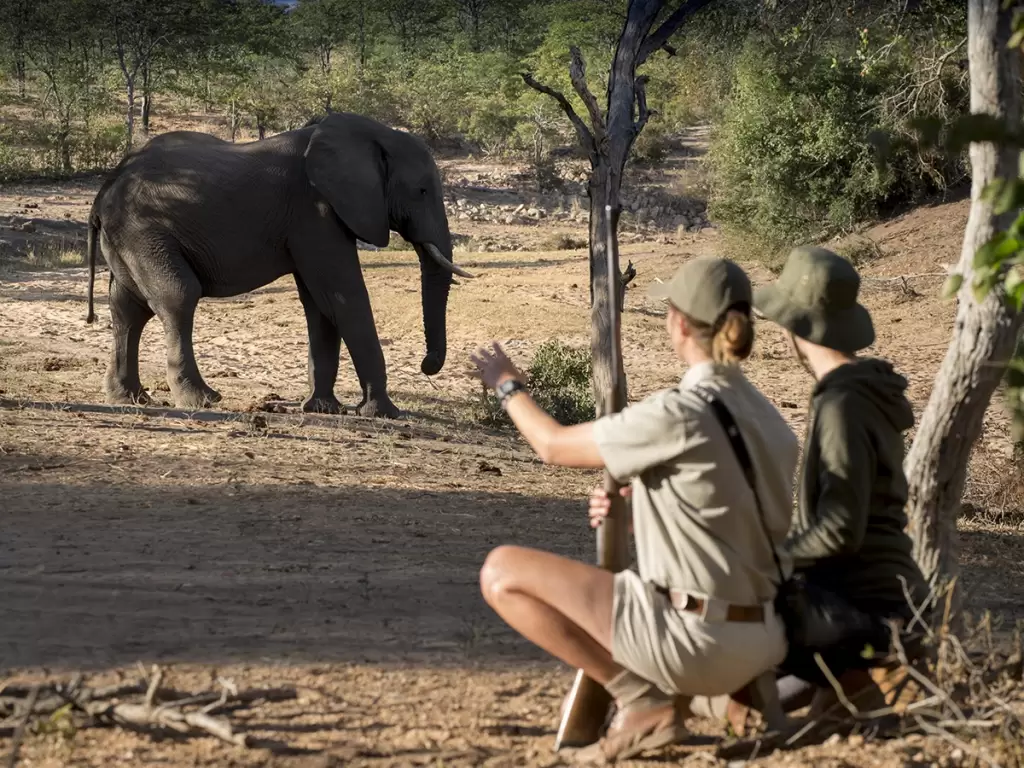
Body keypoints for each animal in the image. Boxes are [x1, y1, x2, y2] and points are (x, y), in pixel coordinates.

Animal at [84, 111, 473, 418]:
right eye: (422, 191)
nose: (427, 366)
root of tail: (104, 191)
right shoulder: (314, 211)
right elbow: (343, 297)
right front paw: (384, 413)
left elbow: (320, 305)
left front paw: (323, 409)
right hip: (144, 230)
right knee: (178, 296)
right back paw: (202, 399)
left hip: (128, 238)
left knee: (128, 308)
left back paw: (129, 398)